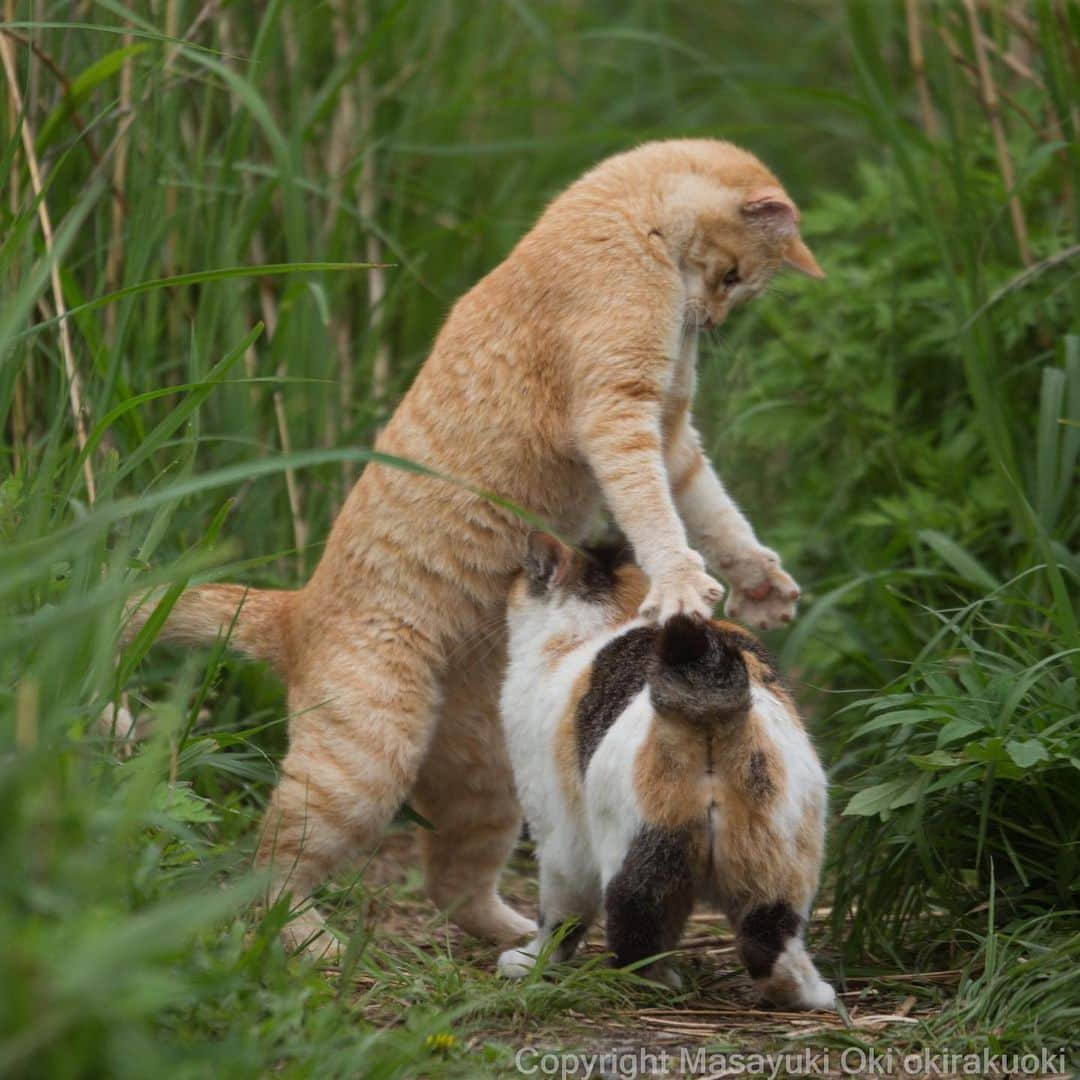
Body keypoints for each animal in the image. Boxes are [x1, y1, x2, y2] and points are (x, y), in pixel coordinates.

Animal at [118, 141, 820, 954]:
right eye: (734, 277)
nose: (711, 318)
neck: (626, 215)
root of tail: (296, 612)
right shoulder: (619, 411)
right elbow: (658, 514)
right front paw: (680, 580)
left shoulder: (673, 432)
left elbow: (715, 511)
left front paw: (761, 580)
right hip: (363, 762)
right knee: (269, 870)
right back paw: (317, 944)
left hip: (489, 776)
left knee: (453, 883)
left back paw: (518, 938)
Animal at [496, 533, 833, 1010]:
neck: (608, 620)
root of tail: (706, 680)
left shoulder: (558, 830)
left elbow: (559, 918)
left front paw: (530, 963)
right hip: (782, 857)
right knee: (771, 945)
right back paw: (811, 995)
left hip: (635, 851)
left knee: (633, 929)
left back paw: (650, 982)